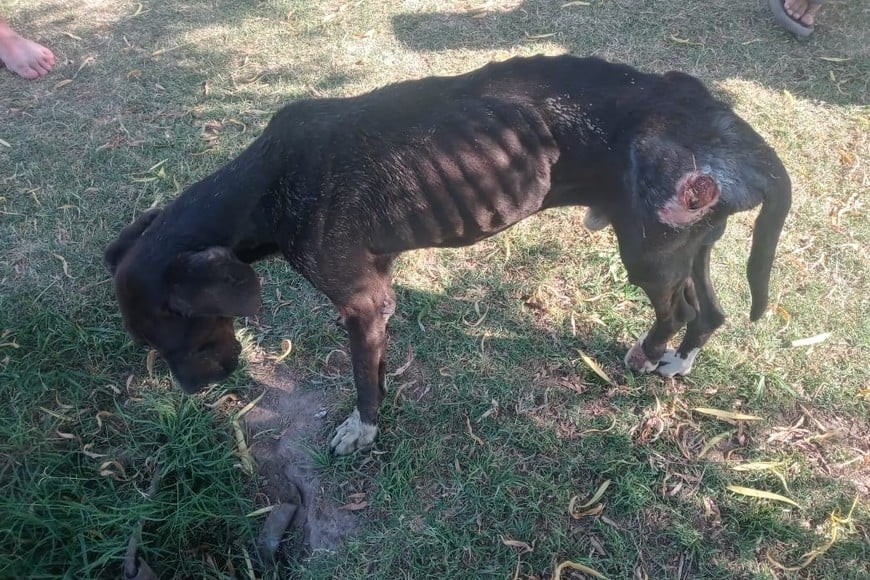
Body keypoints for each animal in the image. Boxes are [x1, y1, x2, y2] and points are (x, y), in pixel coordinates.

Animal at [105, 54, 792, 454]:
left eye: (186, 332)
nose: (196, 391)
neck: (263, 185)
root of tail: (718, 118)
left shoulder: (362, 301)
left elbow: (362, 380)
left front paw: (363, 427)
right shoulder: (376, 298)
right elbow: (376, 366)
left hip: (648, 252)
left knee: (677, 312)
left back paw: (649, 356)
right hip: (688, 248)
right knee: (709, 313)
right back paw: (678, 363)